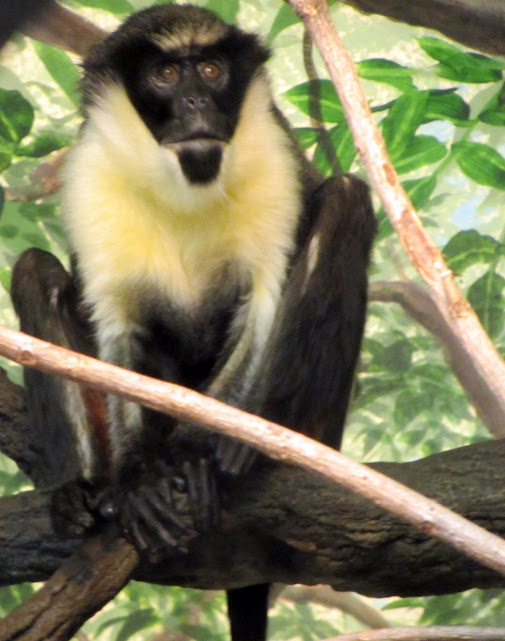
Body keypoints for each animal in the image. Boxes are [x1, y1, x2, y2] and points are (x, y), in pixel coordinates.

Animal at [10, 4, 376, 641]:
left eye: (209, 70)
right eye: (164, 75)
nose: (196, 104)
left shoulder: (272, 151)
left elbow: (262, 309)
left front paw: (197, 455)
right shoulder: (91, 175)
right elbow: (115, 332)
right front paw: (136, 481)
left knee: (347, 199)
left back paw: (254, 449)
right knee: (33, 269)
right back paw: (85, 494)